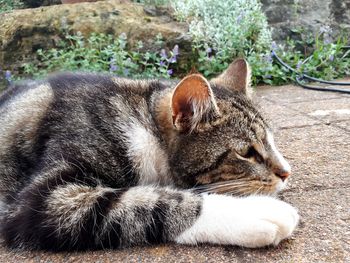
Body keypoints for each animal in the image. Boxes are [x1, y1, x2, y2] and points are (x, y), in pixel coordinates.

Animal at [0, 59, 298, 252]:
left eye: (272, 140)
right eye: (247, 153)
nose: (286, 172)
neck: (145, 127)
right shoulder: (44, 201)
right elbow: (153, 202)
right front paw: (254, 211)